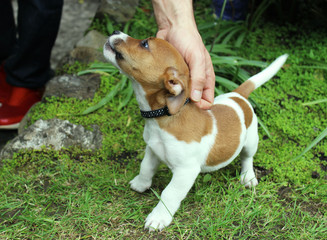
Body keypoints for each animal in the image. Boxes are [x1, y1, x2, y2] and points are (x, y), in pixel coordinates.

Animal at [104, 30, 288, 231]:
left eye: (144, 44)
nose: (116, 32)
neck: (163, 118)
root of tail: (238, 95)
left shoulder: (186, 171)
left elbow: (169, 193)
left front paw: (159, 217)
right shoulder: (152, 150)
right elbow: (145, 167)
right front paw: (141, 184)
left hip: (251, 141)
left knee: (247, 158)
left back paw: (248, 177)